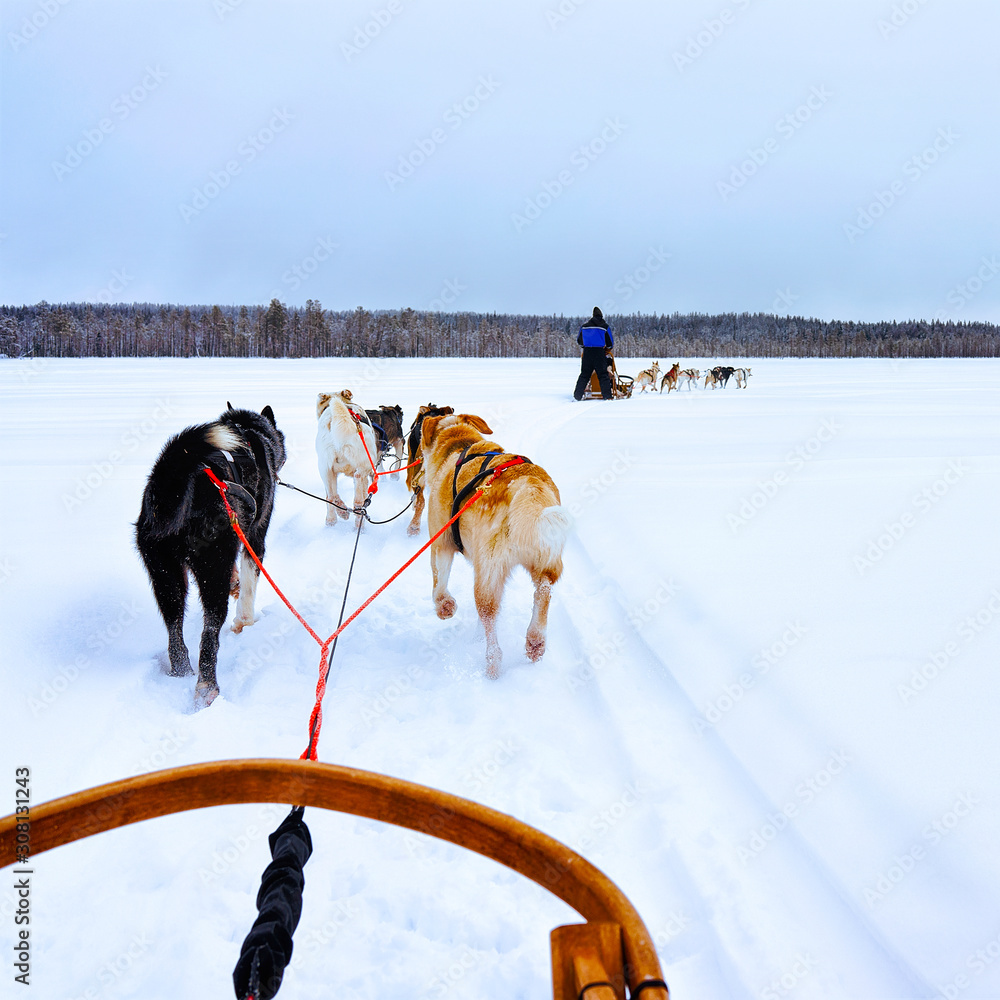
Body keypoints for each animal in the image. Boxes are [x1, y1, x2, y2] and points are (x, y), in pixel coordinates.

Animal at [135, 402, 288, 708]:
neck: (251, 432)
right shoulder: (254, 540)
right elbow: (249, 588)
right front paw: (245, 622)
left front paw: (235, 584)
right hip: (211, 571)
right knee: (208, 636)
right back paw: (207, 688)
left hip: (166, 578)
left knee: (174, 632)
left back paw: (181, 671)